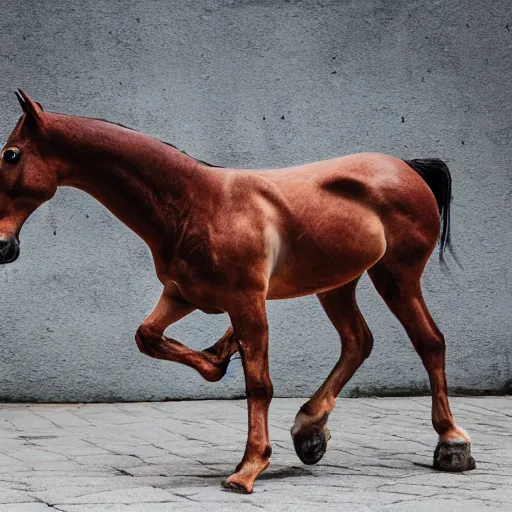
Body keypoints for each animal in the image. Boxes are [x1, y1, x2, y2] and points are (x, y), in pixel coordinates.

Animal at [0, 91, 476, 492]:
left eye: (10, 154)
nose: (4, 246)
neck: (195, 202)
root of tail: (408, 168)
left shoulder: (247, 300)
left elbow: (258, 384)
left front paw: (247, 469)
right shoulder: (183, 295)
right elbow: (147, 336)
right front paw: (218, 357)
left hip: (396, 277)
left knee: (429, 342)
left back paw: (452, 444)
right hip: (338, 284)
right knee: (358, 341)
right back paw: (309, 430)